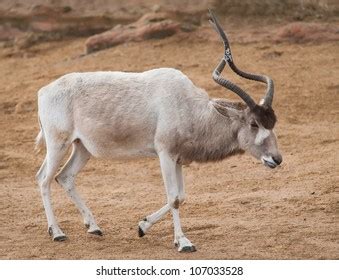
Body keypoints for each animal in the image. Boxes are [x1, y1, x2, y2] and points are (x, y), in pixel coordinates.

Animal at [35, 10, 282, 252]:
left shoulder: (179, 158)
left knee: (64, 177)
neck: (189, 107)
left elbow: (182, 196)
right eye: (254, 123)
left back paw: (93, 227)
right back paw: (57, 232)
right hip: (58, 143)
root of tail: (44, 91)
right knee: (44, 179)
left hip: (82, 147)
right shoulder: (165, 154)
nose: (276, 159)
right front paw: (183, 242)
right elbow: (173, 198)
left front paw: (142, 226)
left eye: (272, 122)